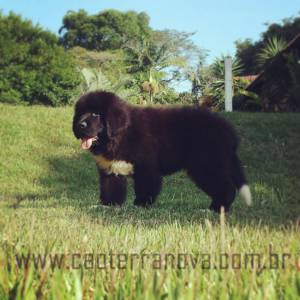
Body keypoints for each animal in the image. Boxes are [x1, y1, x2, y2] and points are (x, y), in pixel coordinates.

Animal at [72, 90, 251, 212]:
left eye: (95, 114)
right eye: (80, 114)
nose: (80, 125)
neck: (118, 136)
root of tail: (229, 130)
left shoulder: (146, 166)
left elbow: (146, 187)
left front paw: (140, 205)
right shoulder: (111, 169)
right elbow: (111, 190)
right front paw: (108, 206)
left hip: (206, 164)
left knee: (226, 187)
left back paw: (216, 209)